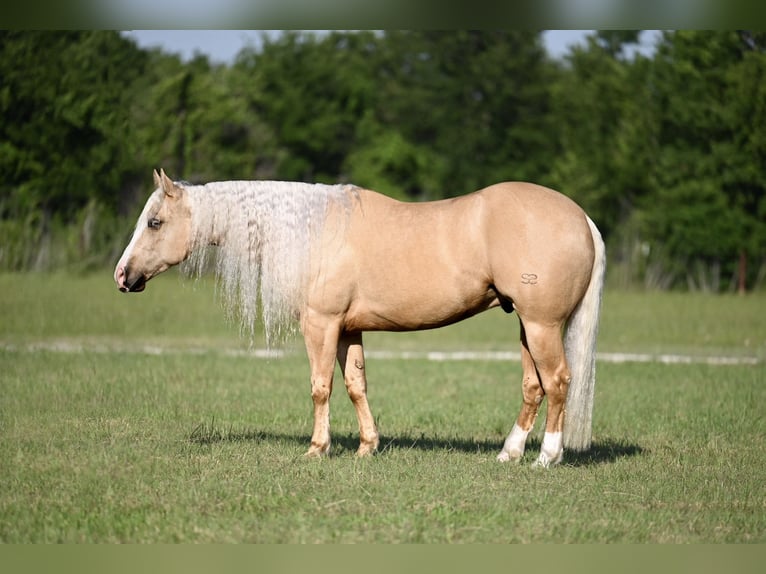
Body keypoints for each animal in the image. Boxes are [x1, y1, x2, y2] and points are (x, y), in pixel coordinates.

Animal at [115, 169, 605, 467]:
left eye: (155, 222)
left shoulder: (321, 324)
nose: (123, 275)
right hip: (525, 327)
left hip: (542, 326)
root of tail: (581, 217)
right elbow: (355, 385)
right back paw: (509, 453)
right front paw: (368, 447)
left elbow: (320, 387)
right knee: (533, 386)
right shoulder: (348, 329)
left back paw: (547, 457)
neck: (312, 232)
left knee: (557, 382)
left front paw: (317, 448)